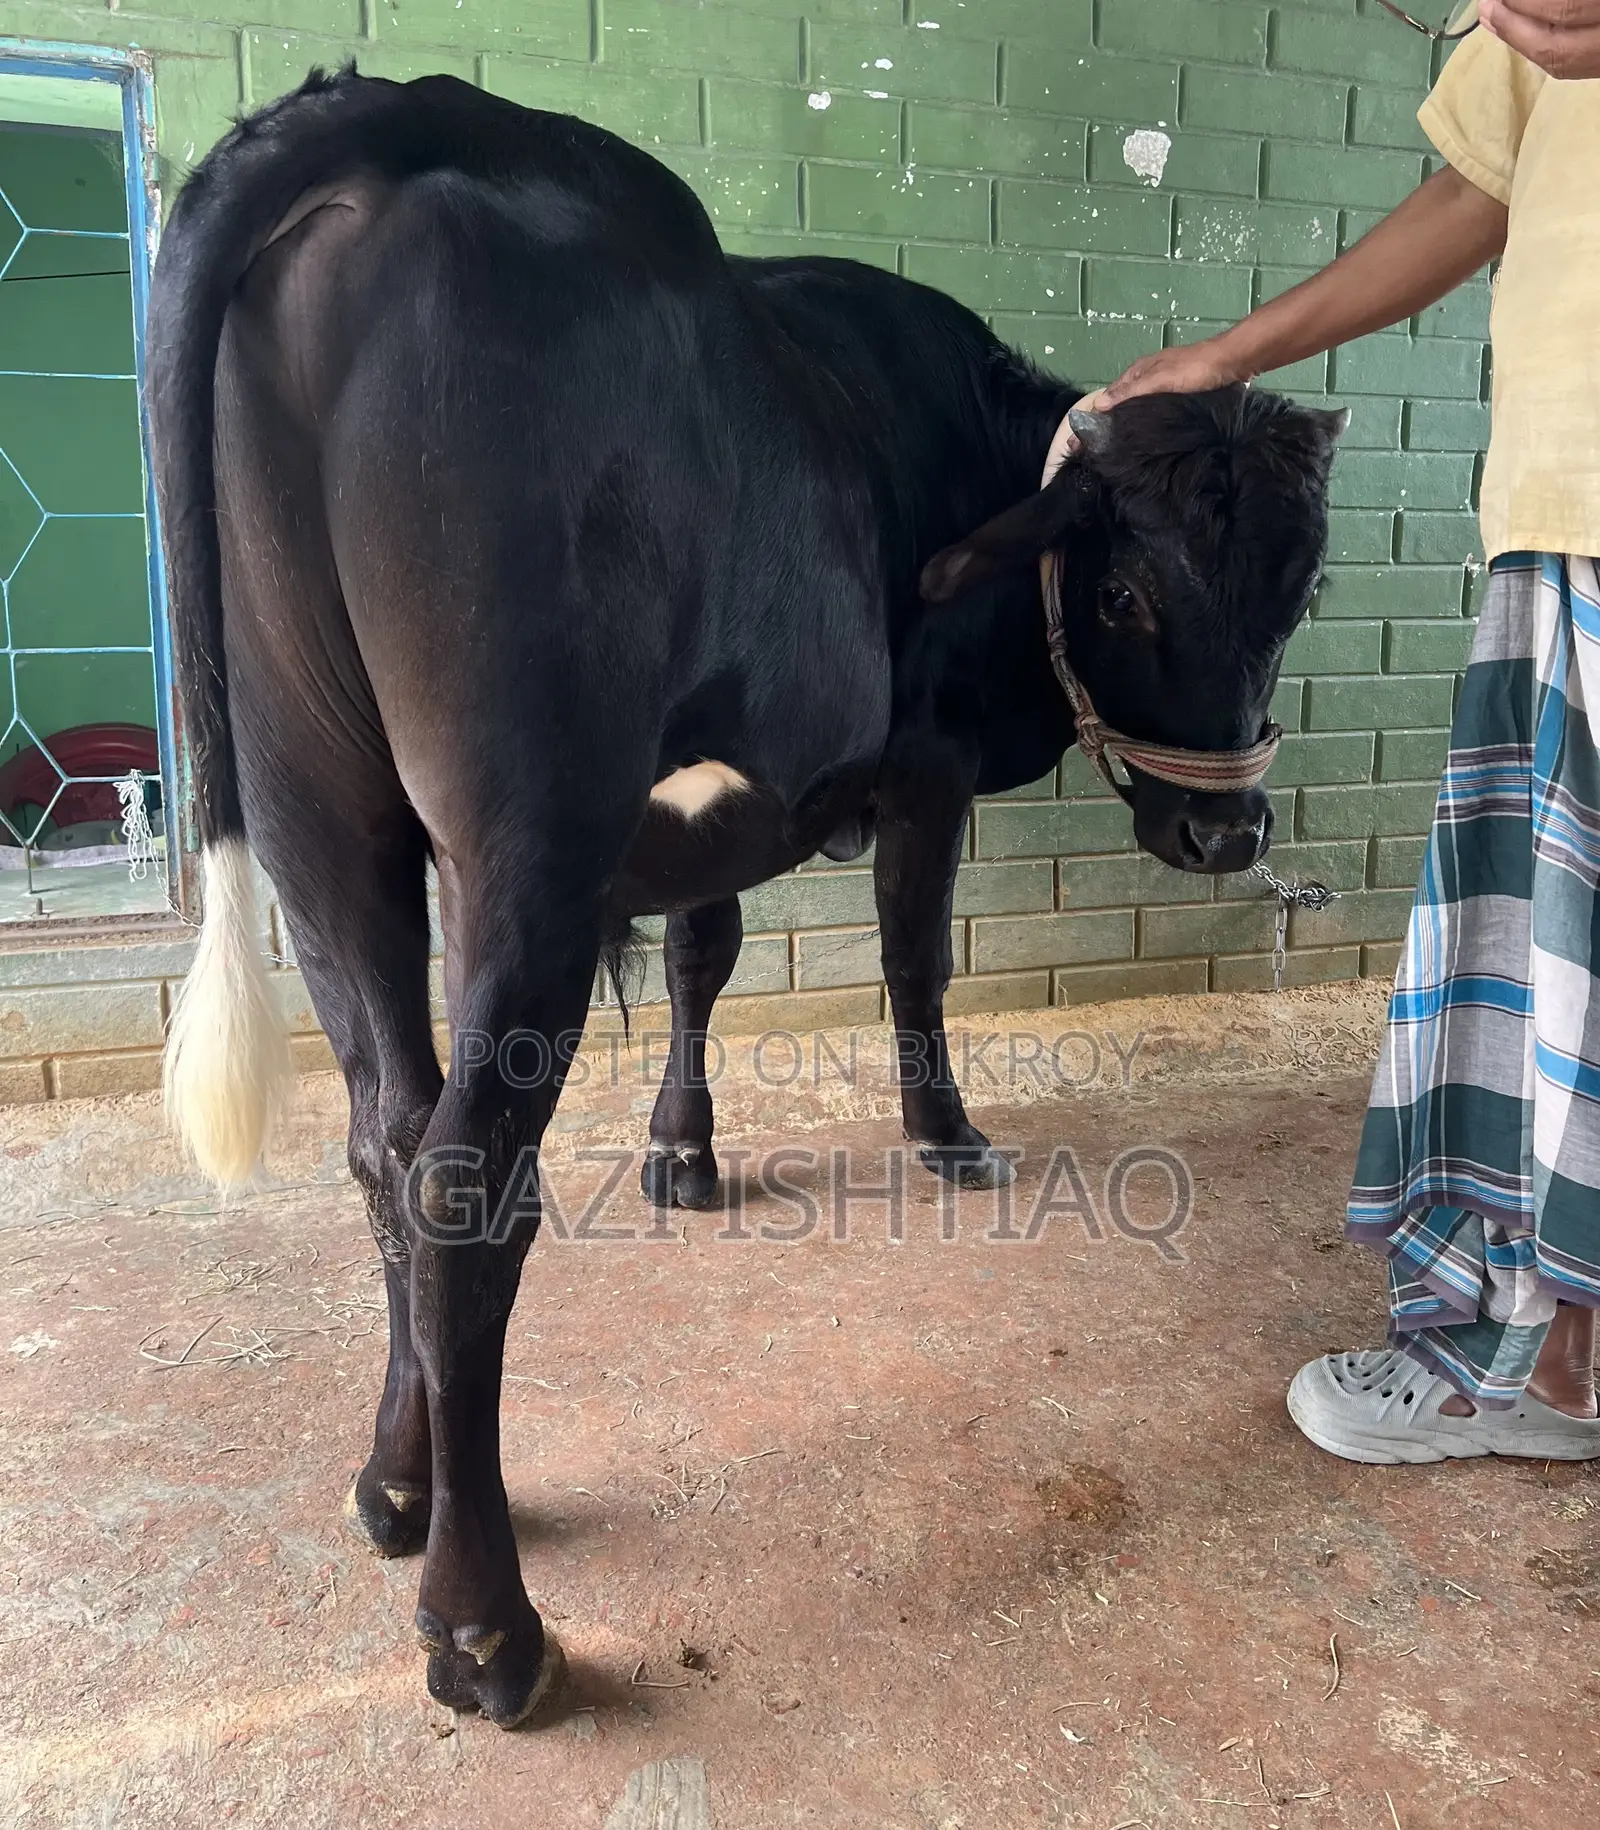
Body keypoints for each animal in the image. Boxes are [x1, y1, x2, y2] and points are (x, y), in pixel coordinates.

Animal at [148, 68, 1345, 1726]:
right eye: (1121, 591)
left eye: (1298, 593)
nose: (1229, 831)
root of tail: (392, 109)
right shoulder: (922, 763)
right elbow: (912, 955)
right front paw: (948, 1136)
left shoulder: (720, 811)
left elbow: (705, 960)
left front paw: (685, 1154)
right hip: (527, 827)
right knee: (463, 1178)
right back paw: (485, 1623)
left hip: (320, 809)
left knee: (385, 1135)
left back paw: (396, 1485)